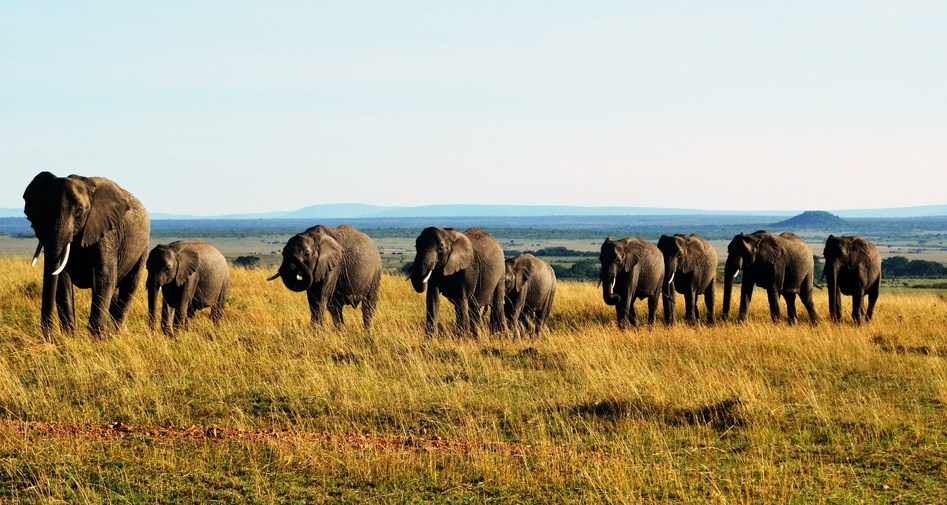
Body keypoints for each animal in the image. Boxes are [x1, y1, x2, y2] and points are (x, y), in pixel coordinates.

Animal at [22, 170, 149, 338]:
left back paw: (117, 333)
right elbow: (62, 280)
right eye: (42, 210)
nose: (49, 338)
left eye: (79, 211)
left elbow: (104, 276)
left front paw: (97, 338)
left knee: (130, 286)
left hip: (143, 248)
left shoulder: (107, 231)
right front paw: (70, 336)